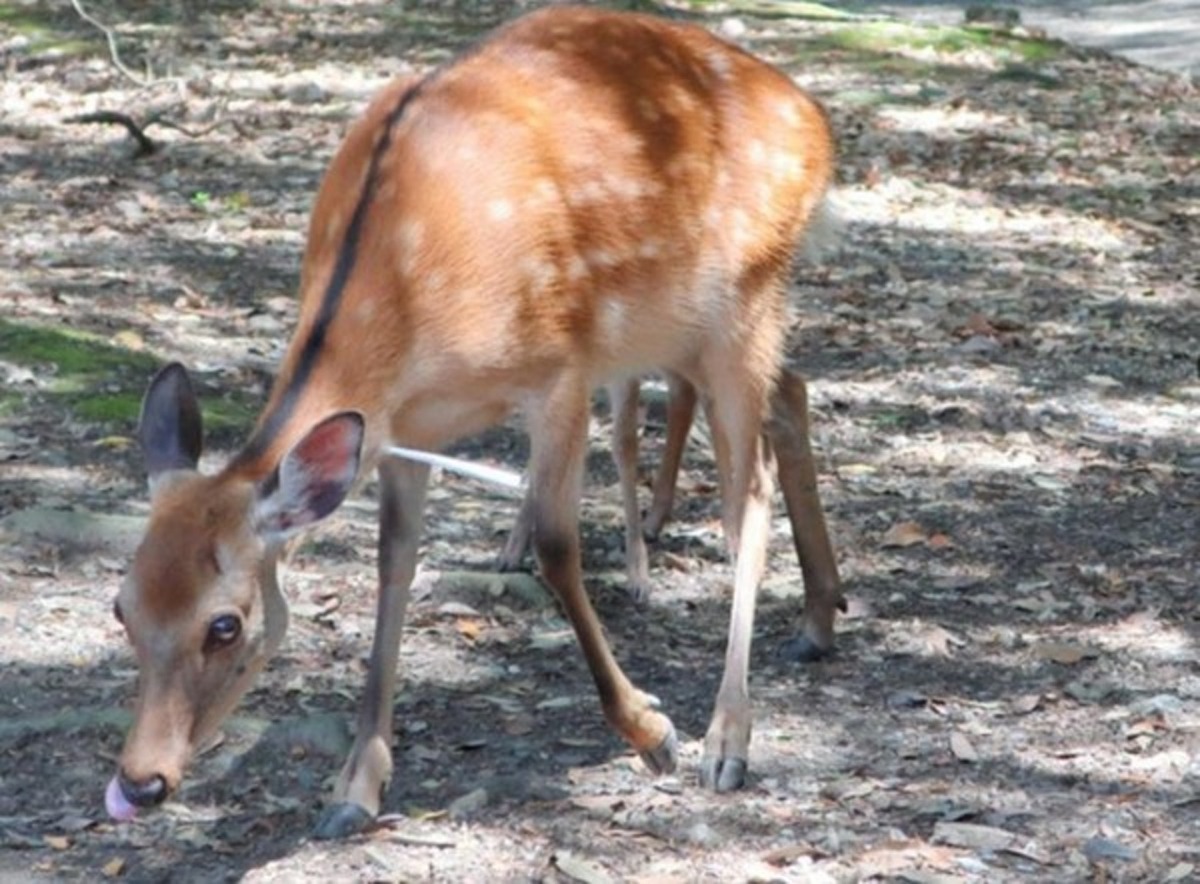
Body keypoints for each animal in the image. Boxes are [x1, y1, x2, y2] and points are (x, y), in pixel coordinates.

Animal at [105, 4, 838, 840]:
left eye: (224, 624)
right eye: (122, 606)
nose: (141, 781)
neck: (407, 302)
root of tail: (816, 123)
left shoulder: (560, 370)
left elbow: (556, 549)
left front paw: (653, 732)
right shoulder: (400, 430)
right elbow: (393, 565)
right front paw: (356, 786)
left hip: (743, 298)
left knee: (749, 492)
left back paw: (729, 739)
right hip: (700, 327)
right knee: (794, 392)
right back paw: (819, 621)